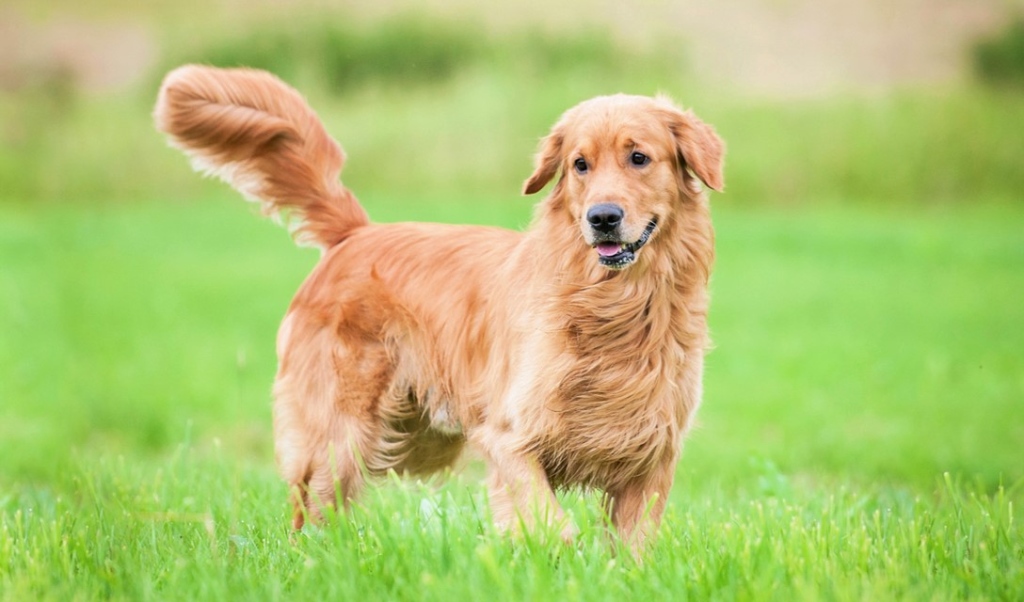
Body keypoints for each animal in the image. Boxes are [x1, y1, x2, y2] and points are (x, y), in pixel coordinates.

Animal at [155, 64, 724, 548]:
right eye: (580, 165)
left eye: (639, 157)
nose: (602, 217)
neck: (614, 305)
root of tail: (355, 234)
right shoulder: (508, 437)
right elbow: (551, 525)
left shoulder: (652, 454)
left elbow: (631, 547)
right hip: (340, 436)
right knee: (310, 513)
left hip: (417, 435)